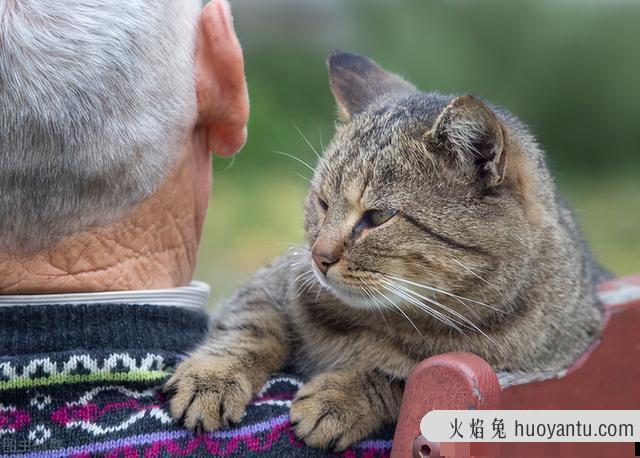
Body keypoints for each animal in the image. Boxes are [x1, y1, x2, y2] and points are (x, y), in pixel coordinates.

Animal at [165, 52, 604, 450]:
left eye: (378, 216)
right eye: (323, 203)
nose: (319, 257)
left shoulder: (511, 371)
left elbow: (399, 378)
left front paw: (340, 397)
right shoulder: (274, 280)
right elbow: (251, 325)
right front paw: (211, 378)